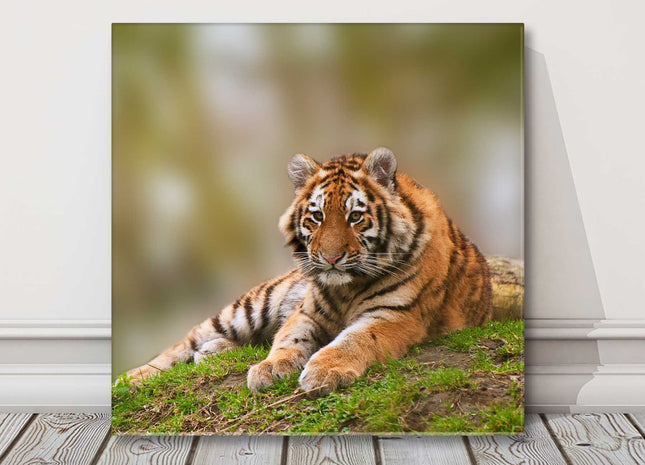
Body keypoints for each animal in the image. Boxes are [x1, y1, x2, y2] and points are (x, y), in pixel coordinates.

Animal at [124, 147, 492, 396]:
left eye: (354, 216)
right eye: (317, 216)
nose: (330, 258)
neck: (347, 286)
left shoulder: (395, 315)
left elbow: (355, 339)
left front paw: (324, 371)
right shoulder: (306, 311)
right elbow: (288, 338)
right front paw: (271, 368)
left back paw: (212, 352)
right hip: (250, 306)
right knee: (183, 343)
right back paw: (130, 378)